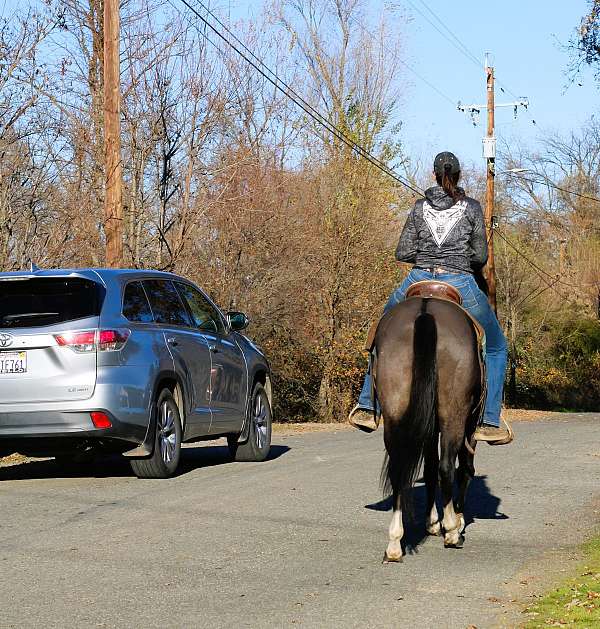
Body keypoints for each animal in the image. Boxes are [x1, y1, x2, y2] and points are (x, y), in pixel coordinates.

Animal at [372, 292, 486, 560]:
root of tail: (426, 311)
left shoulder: (429, 427)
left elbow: (430, 467)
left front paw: (432, 521)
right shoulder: (469, 428)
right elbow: (463, 468)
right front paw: (456, 520)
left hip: (395, 414)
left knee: (399, 468)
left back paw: (395, 542)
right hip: (454, 416)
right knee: (448, 467)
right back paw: (452, 532)